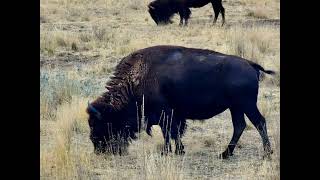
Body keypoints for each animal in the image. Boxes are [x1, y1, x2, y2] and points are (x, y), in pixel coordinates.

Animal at [87, 45, 276, 159]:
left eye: (100, 123)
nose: (98, 149)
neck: (136, 80)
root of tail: (251, 64)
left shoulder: (165, 114)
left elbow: (169, 132)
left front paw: (169, 152)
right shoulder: (171, 115)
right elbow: (172, 133)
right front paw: (176, 151)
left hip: (246, 105)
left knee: (259, 122)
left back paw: (267, 153)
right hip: (236, 107)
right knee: (240, 125)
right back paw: (225, 154)